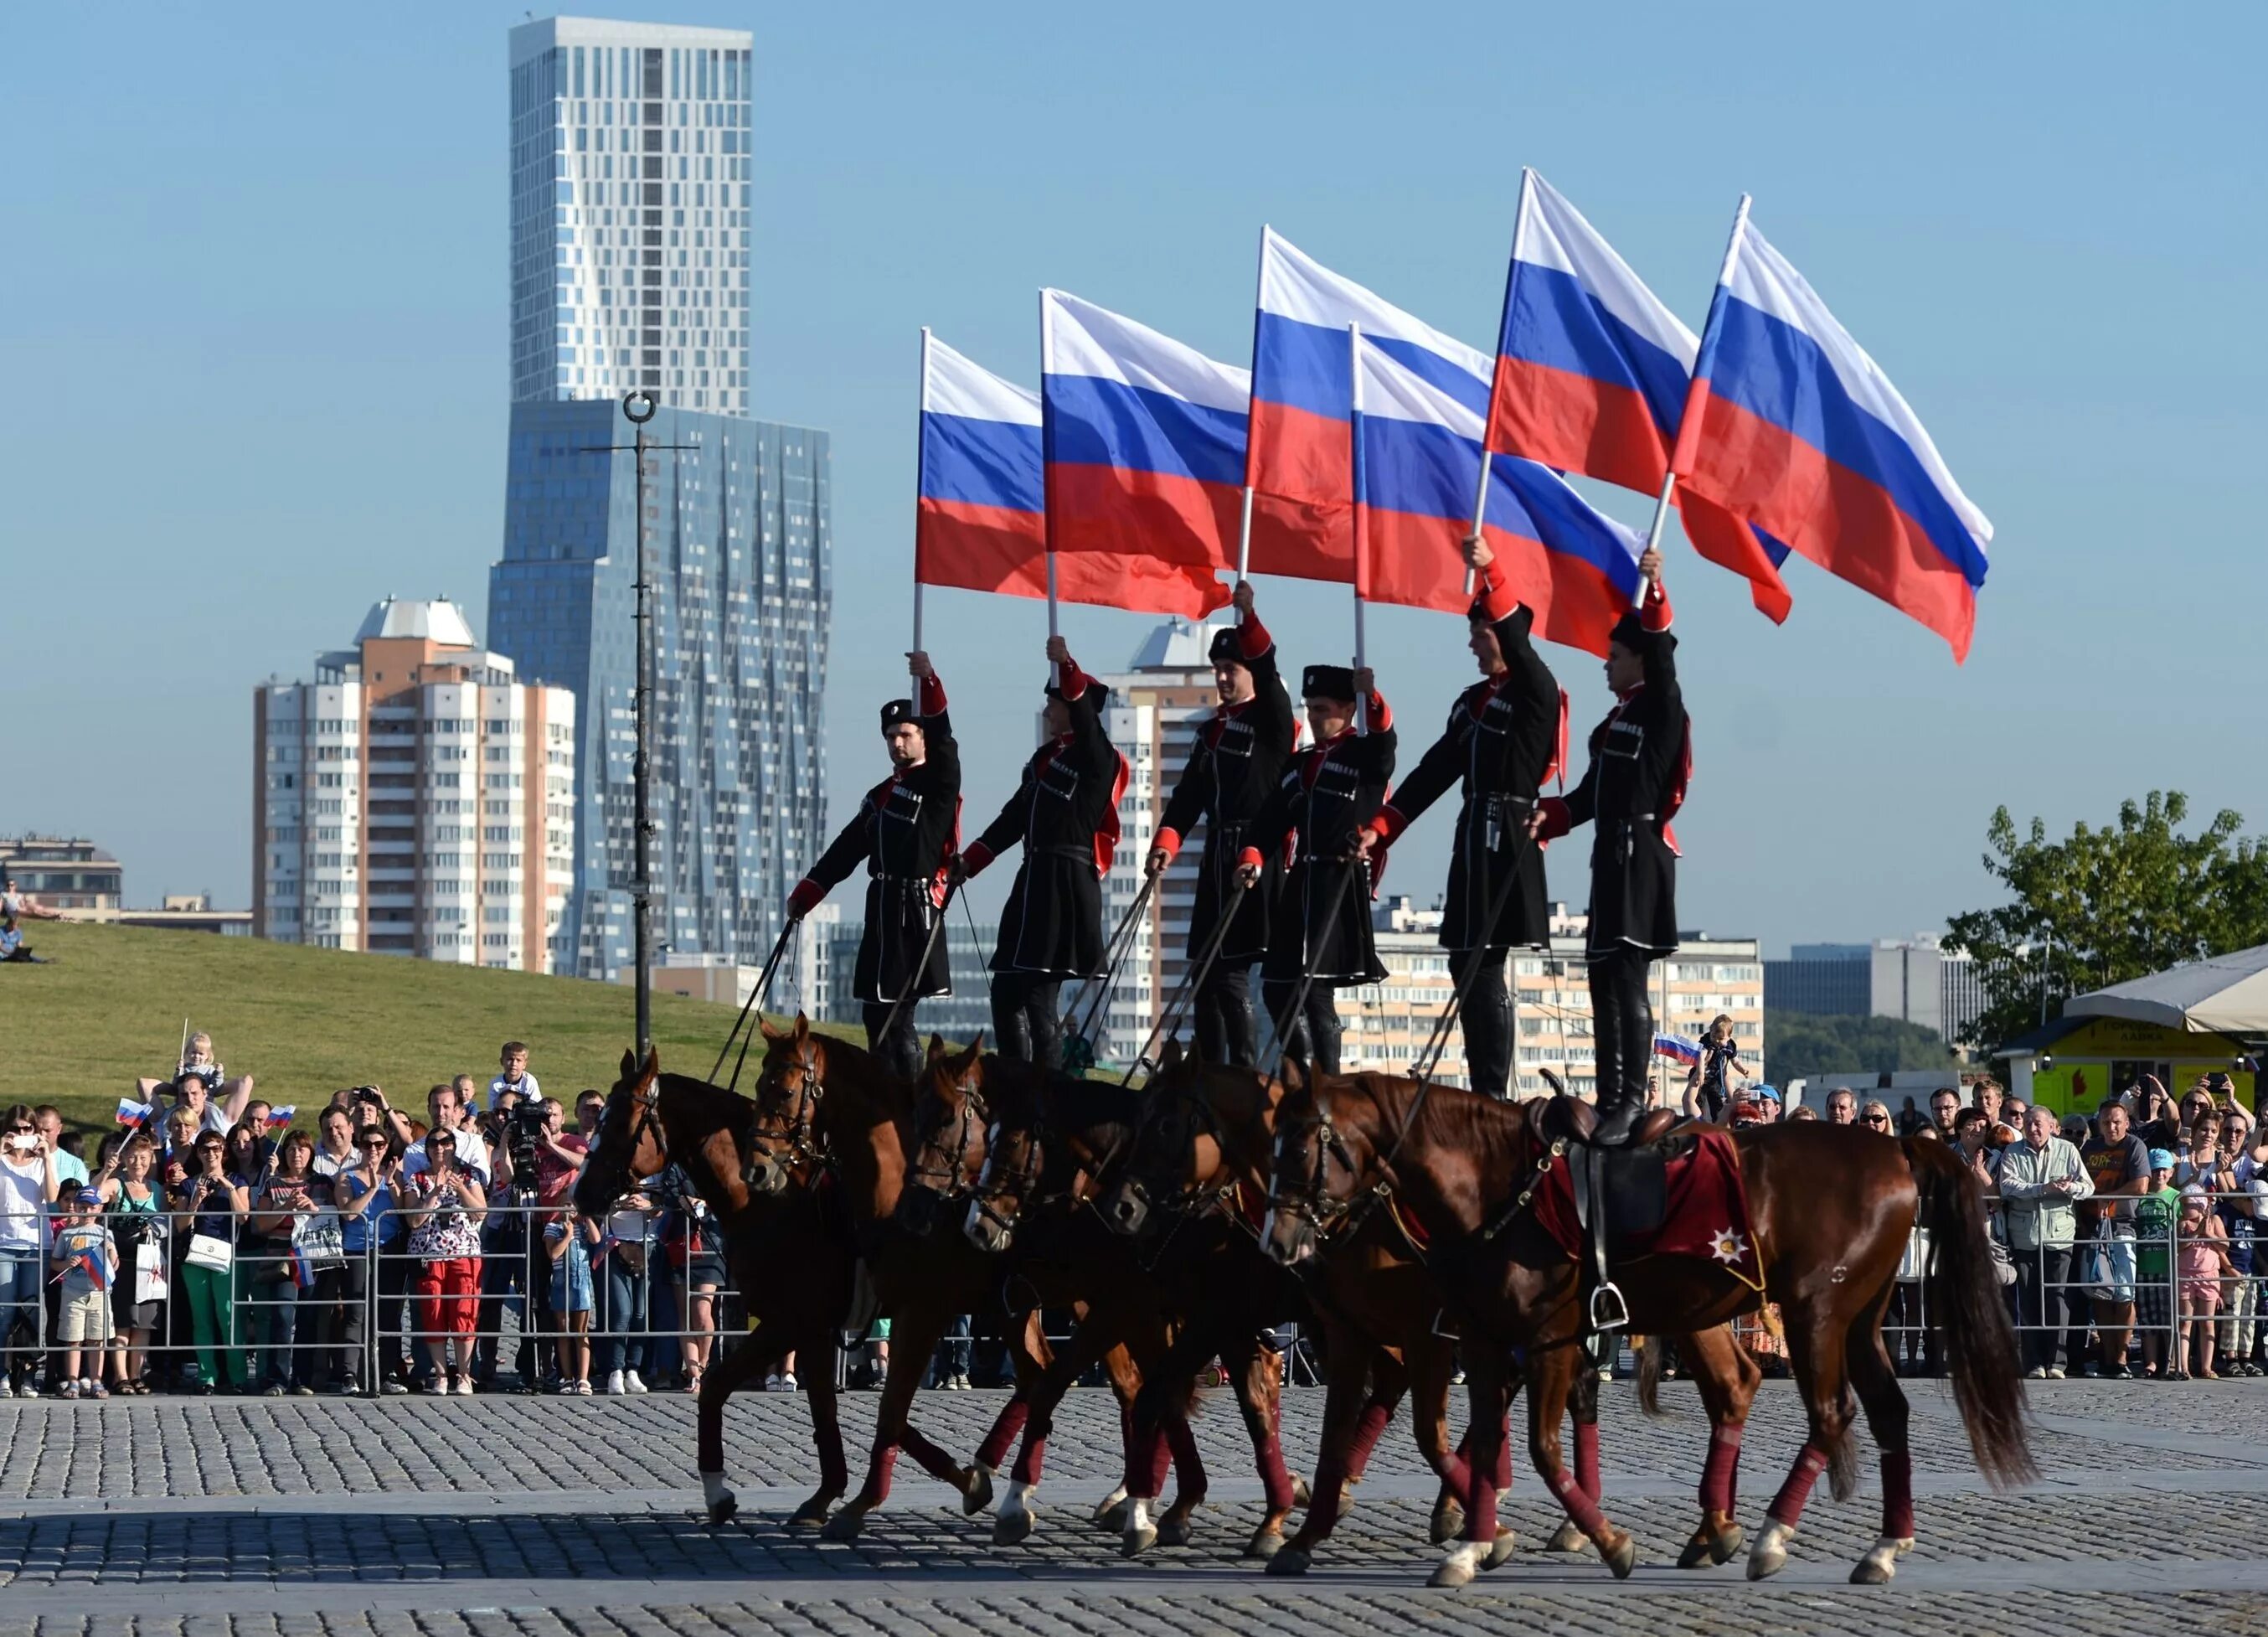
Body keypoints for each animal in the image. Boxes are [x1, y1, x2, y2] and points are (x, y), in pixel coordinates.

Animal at [1270, 1070, 2032, 1578]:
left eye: (1302, 1144)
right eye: (1273, 1140)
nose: (1282, 1241)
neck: (1498, 1185)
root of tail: (1893, 1151)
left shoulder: (1539, 1340)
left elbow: (1539, 1447)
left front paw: (1606, 1541)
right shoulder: (1482, 1342)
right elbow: (1483, 1441)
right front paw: (1472, 1539)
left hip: (1815, 1313)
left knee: (1829, 1414)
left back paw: (1769, 1536)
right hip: (1858, 1320)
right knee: (1880, 1411)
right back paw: (1877, 1545)